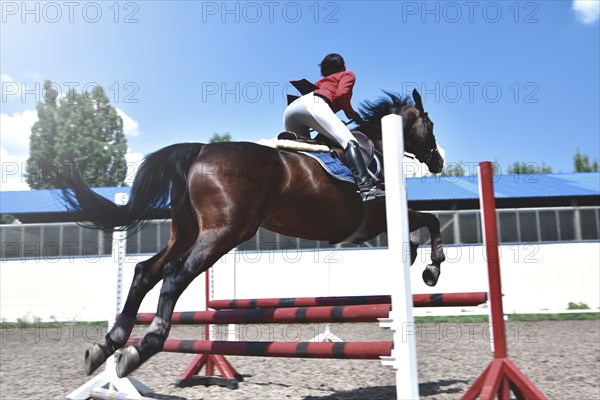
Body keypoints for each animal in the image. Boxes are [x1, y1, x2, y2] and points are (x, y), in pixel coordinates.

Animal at [59, 88, 446, 378]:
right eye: (429, 124)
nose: (439, 161)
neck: (379, 147)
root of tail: (201, 148)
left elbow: (421, 223)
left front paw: (416, 258)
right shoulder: (376, 218)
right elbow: (429, 219)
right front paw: (431, 268)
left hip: (186, 232)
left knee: (145, 271)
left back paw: (108, 345)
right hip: (224, 233)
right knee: (173, 274)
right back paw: (143, 347)